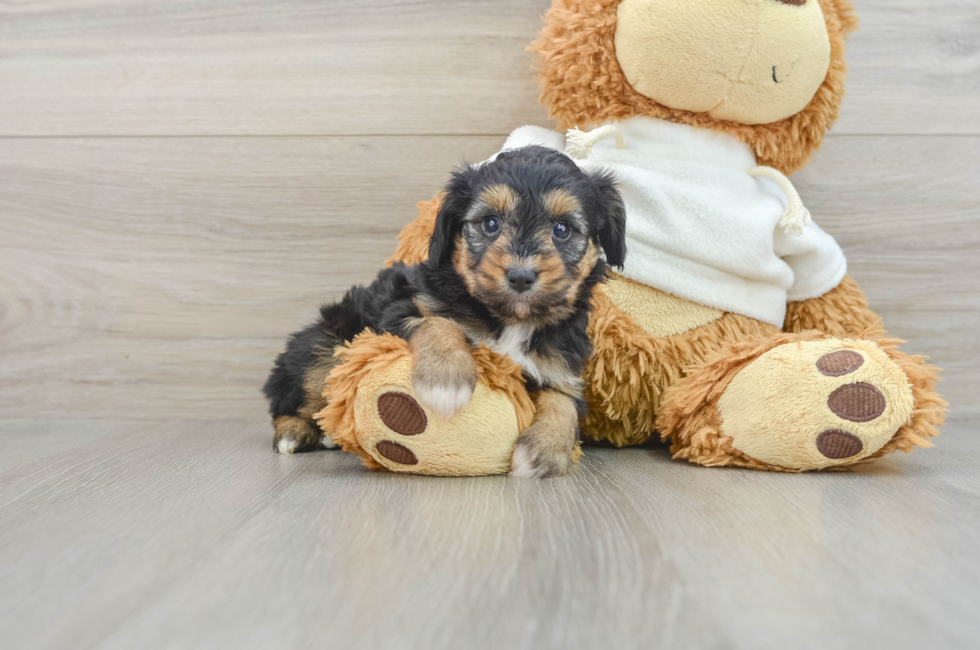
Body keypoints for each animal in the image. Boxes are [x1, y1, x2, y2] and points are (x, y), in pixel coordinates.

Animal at [262, 148, 628, 480]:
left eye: (563, 229)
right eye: (490, 223)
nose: (521, 276)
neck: (510, 319)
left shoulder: (561, 367)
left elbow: (563, 403)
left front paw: (543, 453)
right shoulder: (401, 310)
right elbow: (438, 323)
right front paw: (446, 379)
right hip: (323, 342)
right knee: (292, 398)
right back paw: (295, 434)